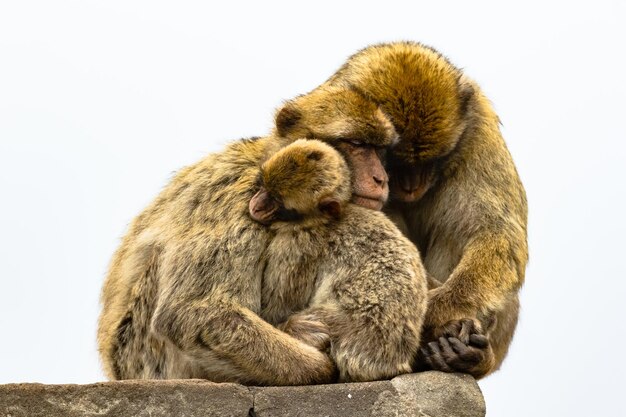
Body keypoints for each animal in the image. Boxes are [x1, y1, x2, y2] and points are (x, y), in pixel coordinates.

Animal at [246, 139, 426, 380]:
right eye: (263, 186)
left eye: (278, 202)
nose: (256, 206)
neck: (323, 219)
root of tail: (395, 362)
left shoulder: (298, 244)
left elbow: (274, 310)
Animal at [276, 41, 524, 376]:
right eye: (393, 157)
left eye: (430, 160)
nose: (410, 185)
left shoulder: (479, 129)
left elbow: (497, 233)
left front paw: (441, 311)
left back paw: (468, 356)